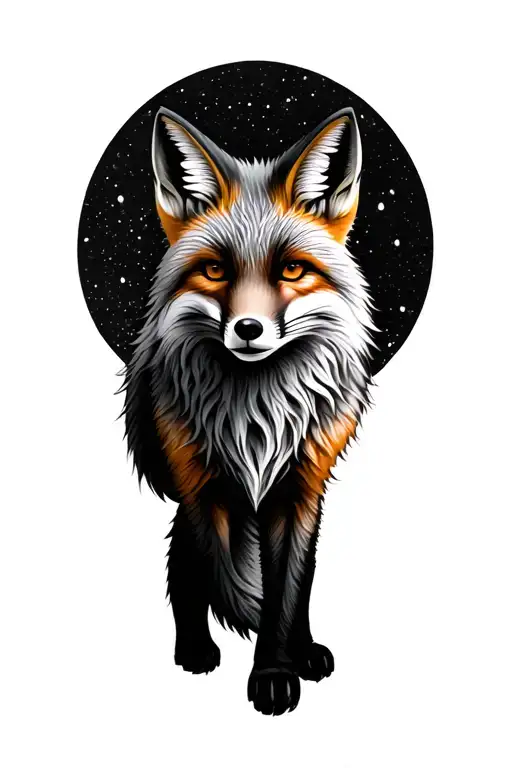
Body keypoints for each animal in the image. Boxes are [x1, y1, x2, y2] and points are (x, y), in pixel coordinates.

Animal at [122, 105, 376, 715]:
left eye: (292, 271)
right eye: (216, 271)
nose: (249, 329)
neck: (257, 410)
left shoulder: (303, 490)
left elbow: (288, 591)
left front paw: (278, 670)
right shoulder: (202, 488)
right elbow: (222, 576)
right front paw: (251, 658)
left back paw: (305, 647)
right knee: (184, 567)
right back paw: (194, 647)